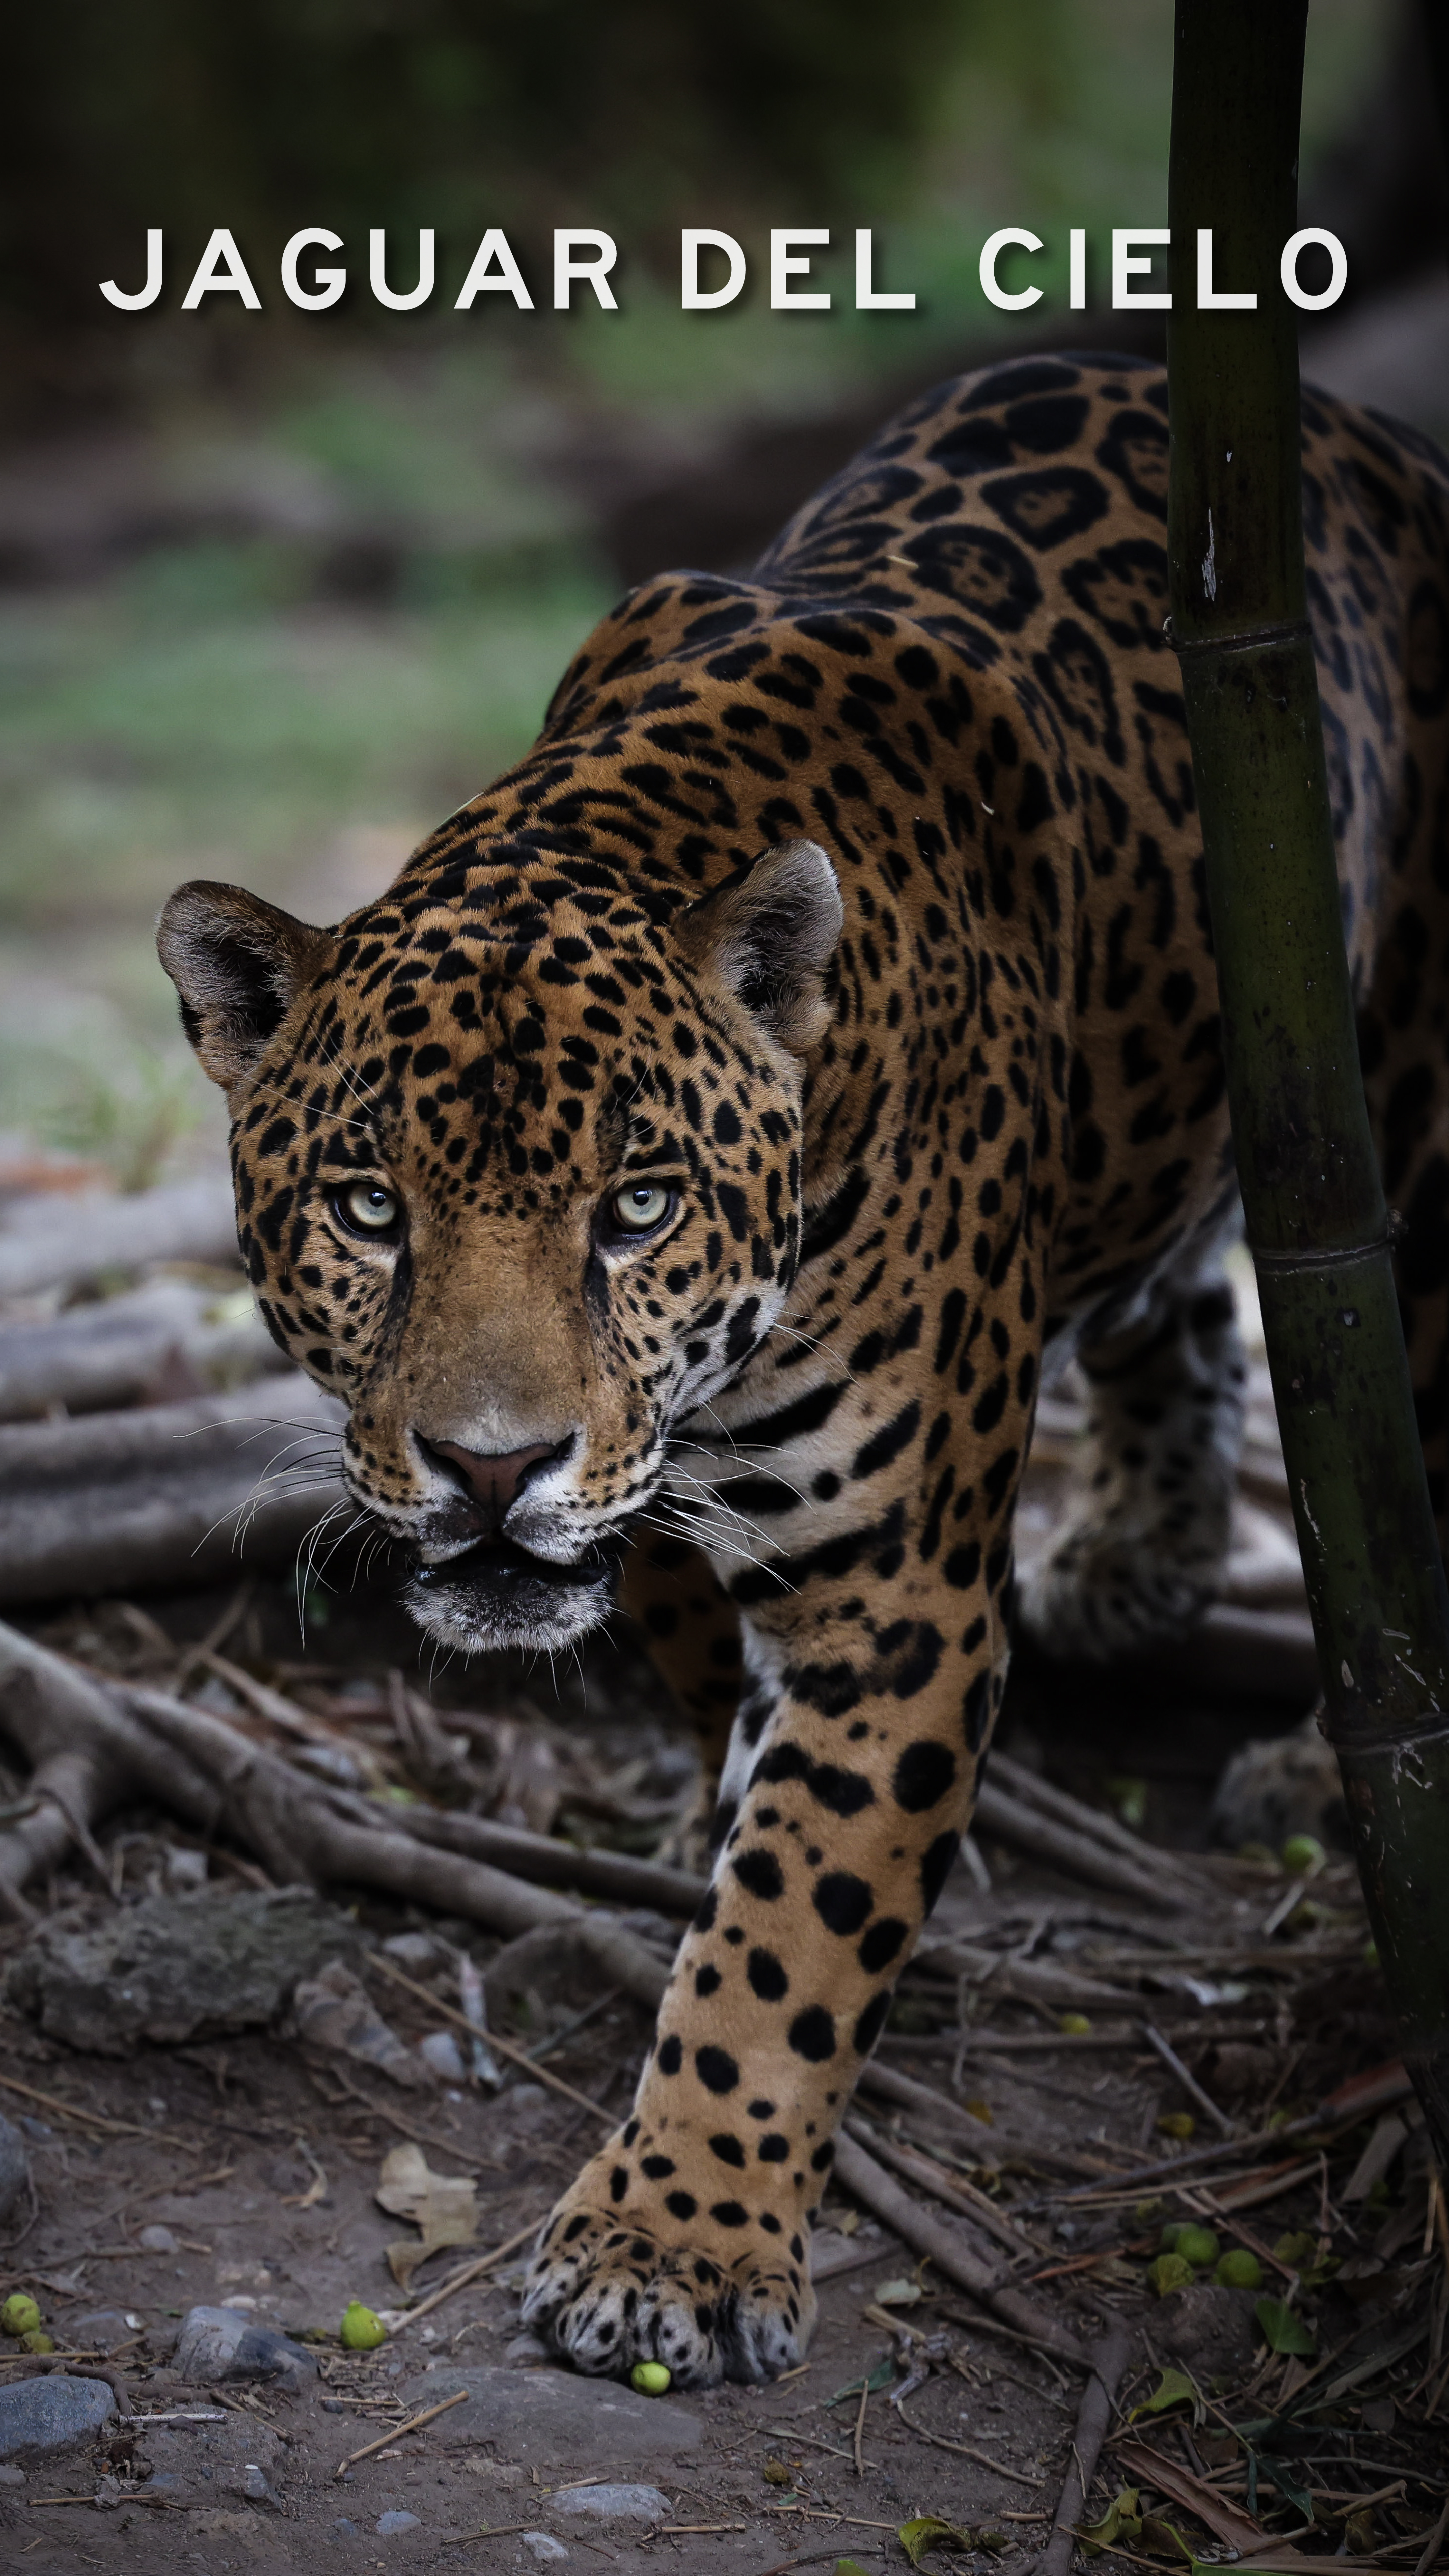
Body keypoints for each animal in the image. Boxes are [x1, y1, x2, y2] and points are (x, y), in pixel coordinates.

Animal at [157, 352, 1449, 2389]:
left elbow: (794, 1921)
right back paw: (1142, 1549)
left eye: (637, 1206)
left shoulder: (890, 1591)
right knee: (1171, 1295)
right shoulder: (682, 1538)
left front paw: (674, 2241)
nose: (489, 1468)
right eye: (367, 1207)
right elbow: (741, 1787)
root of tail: (1352, 426)